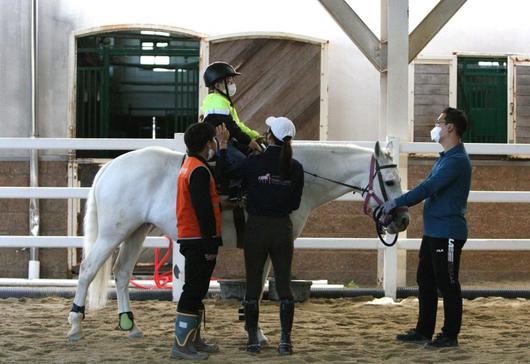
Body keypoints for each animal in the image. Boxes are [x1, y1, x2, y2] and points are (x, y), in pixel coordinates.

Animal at [66, 140, 408, 342]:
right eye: (391, 181)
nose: (402, 220)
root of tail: (112, 165)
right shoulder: (271, 243)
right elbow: (258, 288)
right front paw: (257, 333)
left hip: (136, 230)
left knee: (122, 273)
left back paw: (130, 326)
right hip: (113, 233)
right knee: (87, 270)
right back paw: (75, 325)